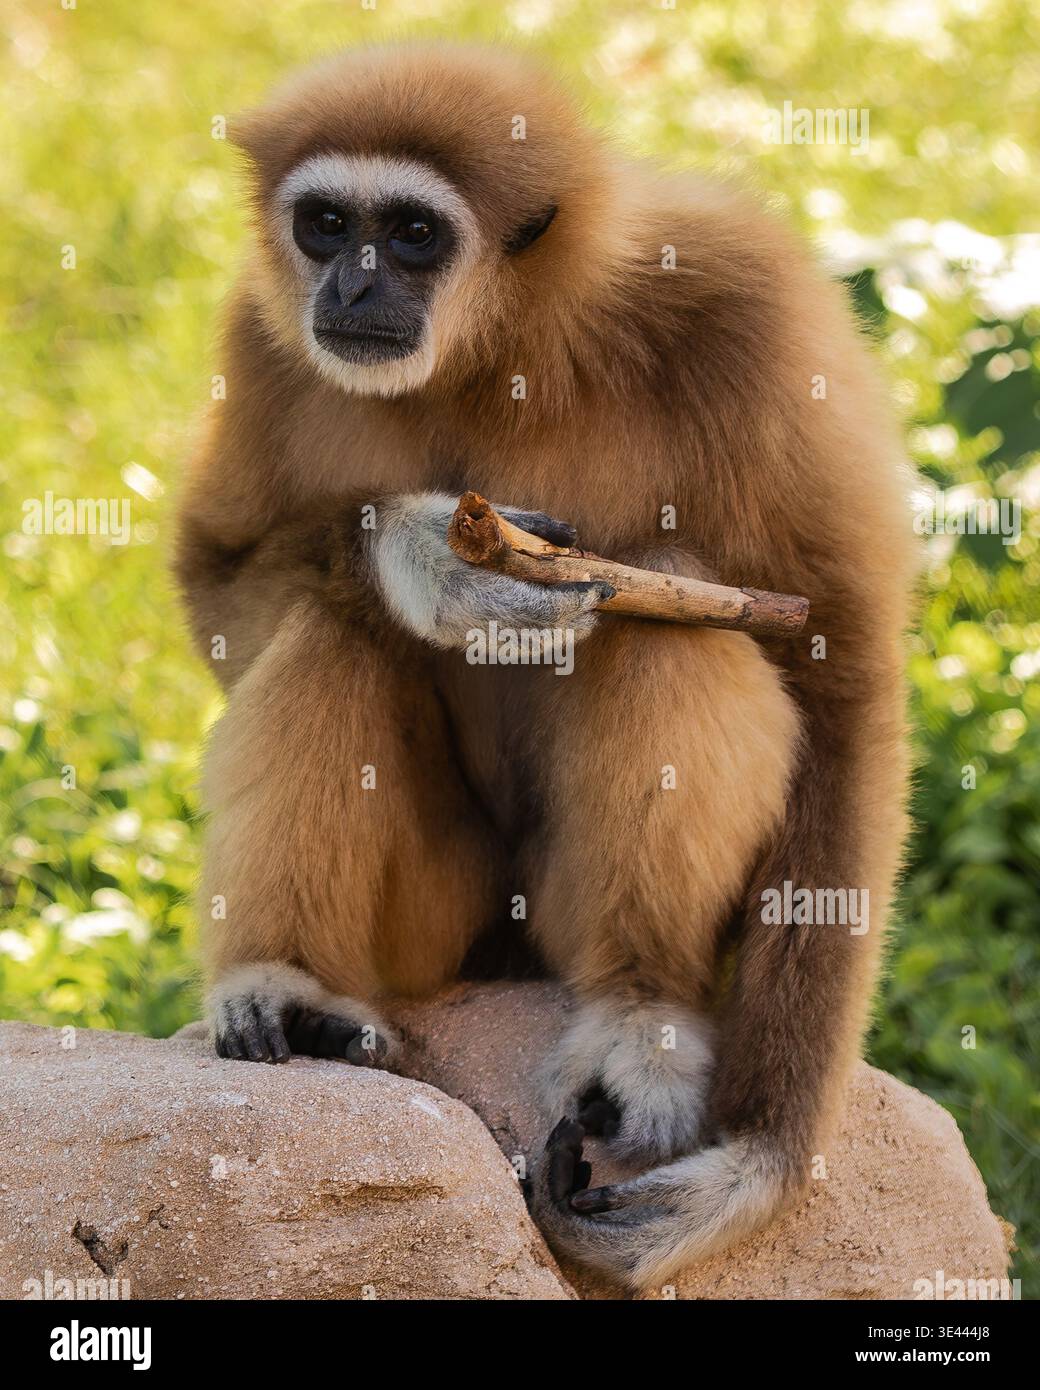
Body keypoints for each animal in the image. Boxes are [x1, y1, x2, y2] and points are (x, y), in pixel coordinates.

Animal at [174, 42, 917, 1290]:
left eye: (411, 234)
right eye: (325, 224)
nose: (352, 287)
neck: (505, 347)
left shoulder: (748, 304)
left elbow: (839, 668)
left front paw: (758, 1166)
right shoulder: (255, 329)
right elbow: (217, 580)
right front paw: (426, 552)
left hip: (553, 919)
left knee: (664, 613)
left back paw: (637, 1013)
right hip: (434, 935)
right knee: (336, 623)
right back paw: (292, 989)